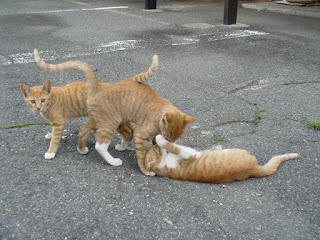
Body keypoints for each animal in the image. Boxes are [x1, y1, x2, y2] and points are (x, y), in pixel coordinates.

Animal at [146, 135, 300, 184]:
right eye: (155, 149)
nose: (153, 143)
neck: (164, 164)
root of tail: (253, 169)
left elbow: (173, 144)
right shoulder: (188, 154)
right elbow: (174, 146)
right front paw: (161, 139)